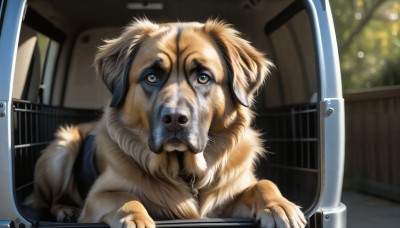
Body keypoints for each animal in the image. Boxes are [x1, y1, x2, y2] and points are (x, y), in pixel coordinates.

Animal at [24, 18, 306, 227]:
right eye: (151, 77)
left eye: (203, 77)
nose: (175, 119)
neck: (184, 172)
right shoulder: (98, 196)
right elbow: (125, 197)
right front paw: (136, 219)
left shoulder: (231, 194)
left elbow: (263, 184)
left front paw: (280, 206)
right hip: (63, 147)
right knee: (53, 198)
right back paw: (65, 210)